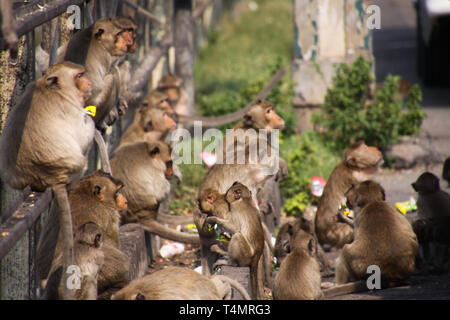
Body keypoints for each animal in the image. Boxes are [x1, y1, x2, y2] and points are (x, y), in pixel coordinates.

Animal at [0, 62, 95, 300]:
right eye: (79, 76)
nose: (88, 82)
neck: (51, 88)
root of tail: (48, 177)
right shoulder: (70, 108)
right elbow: (83, 134)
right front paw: (90, 117)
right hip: (74, 168)